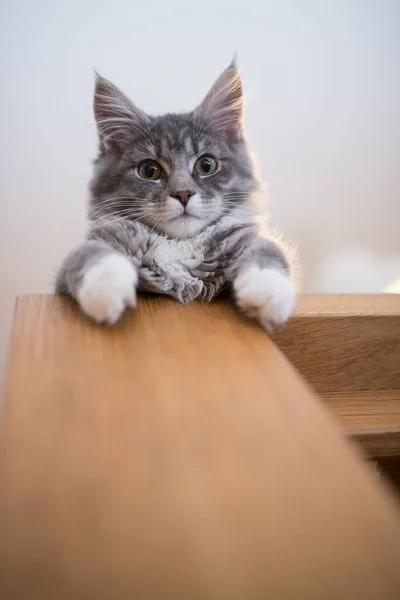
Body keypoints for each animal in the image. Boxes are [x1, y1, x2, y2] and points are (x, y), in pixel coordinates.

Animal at [54, 59, 296, 332]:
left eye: (206, 165)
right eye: (149, 170)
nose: (182, 194)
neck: (179, 246)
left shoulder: (245, 239)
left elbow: (268, 252)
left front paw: (267, 293)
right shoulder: (76, 263)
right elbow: (89, 255)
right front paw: (106, 289)